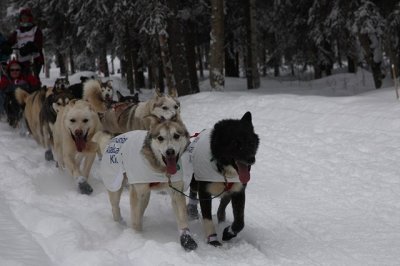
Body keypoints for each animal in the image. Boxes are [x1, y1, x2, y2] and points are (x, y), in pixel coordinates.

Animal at [98, 119, 198, 251]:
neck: (160, 168)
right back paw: (119, 223)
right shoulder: (136, 192)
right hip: (115, 185)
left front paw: (186, 239)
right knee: (116, 207)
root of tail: (114, 137)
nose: (170, 151)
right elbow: (135, 219)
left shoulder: (176, 190)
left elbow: (182, 217)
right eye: (160, 138)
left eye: (176, 136)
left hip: (146, 195)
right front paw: (136, 238)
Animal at [187, 111, 260, 246]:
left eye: (251, 143)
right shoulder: (204, 191)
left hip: (227, 193)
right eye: (235, 144)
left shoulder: (238, 191)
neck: (222, 171)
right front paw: (213, 239)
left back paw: (222, 222)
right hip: (194, 180)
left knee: (221, 208)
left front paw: (228, 232)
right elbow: (207, 218)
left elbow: (240, 222)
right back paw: (192, 211)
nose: (251, 159)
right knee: (193, 192)